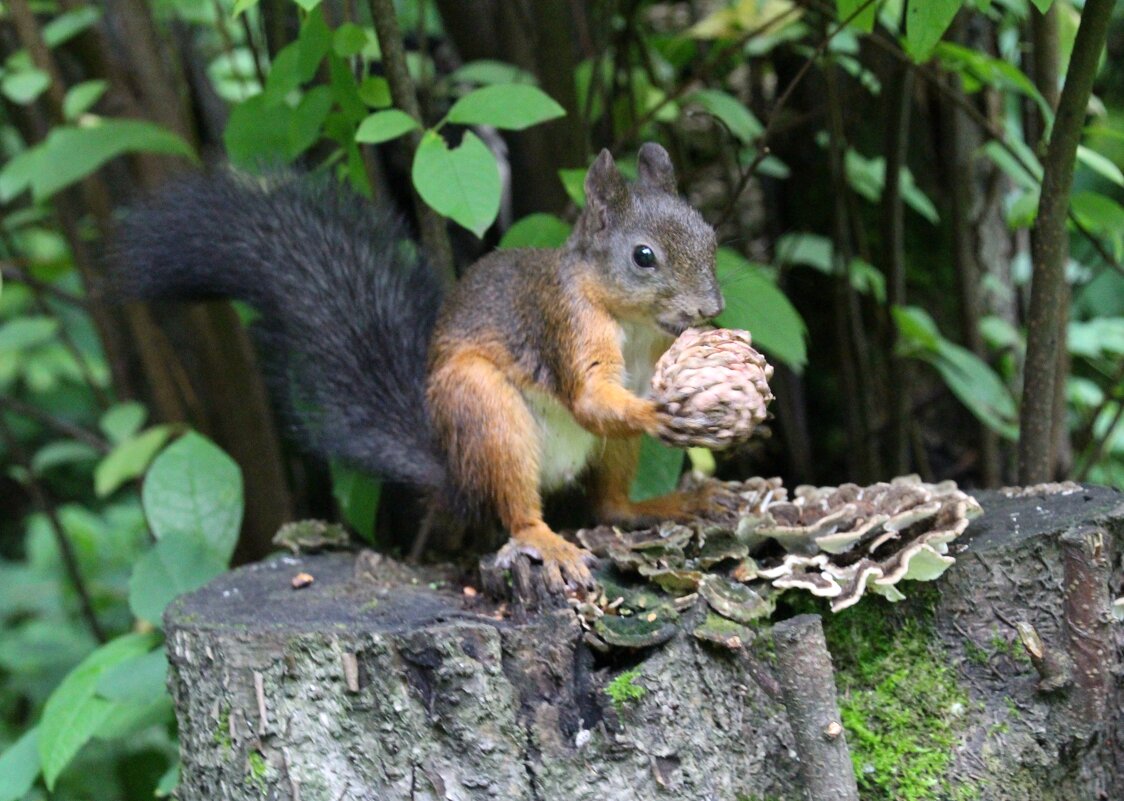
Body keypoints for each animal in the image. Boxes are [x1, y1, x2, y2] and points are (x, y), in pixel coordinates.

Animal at [114, 142, 723, 588]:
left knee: (609, 503)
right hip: (484, 413)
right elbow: (590, 398)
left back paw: (671, 502)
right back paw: (545, 540)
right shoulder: (564, 323)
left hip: (602, 454)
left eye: (712, 235)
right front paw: (660, 411)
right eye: (643, 257)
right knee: (520, 509)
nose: (710, 310)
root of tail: (454, 473)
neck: (632, 321)